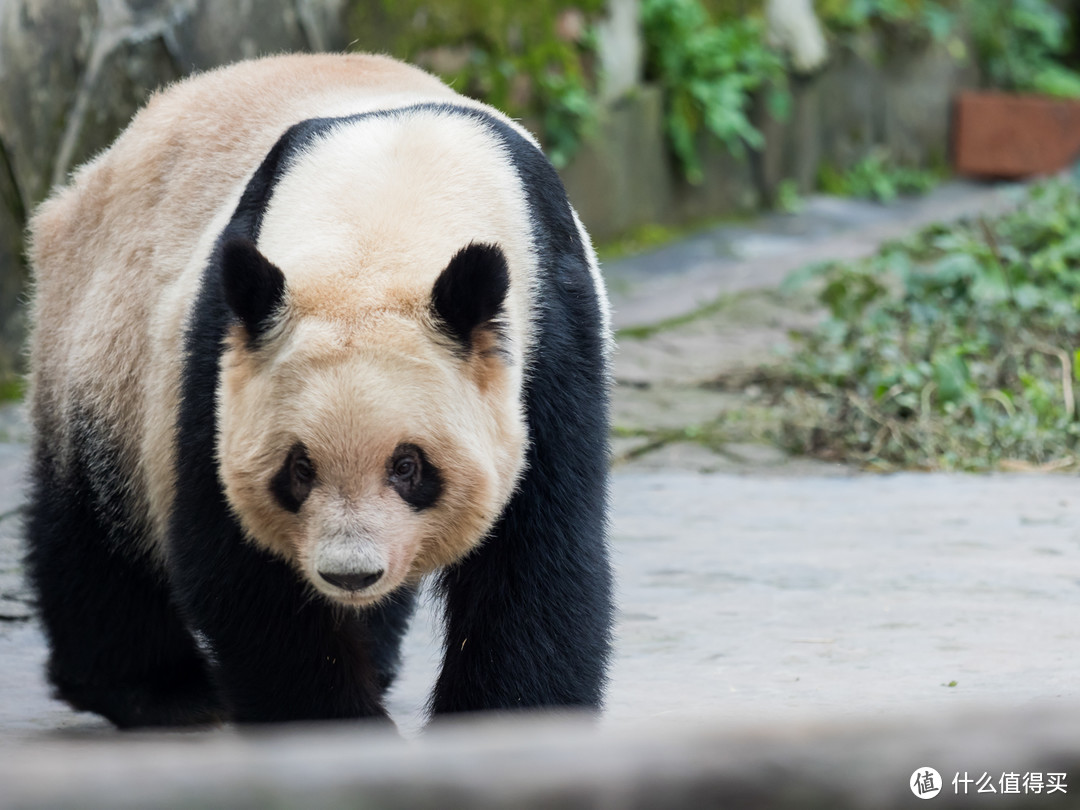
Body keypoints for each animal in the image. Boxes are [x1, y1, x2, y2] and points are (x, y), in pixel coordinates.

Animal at [25, 54, 613, 734]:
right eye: (297, 468)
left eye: (409, 466)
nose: (349, 573)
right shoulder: (219, 352)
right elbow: (241, 567)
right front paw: (335, 727)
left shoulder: (550, 333)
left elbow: (534, 556)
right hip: (109, 341)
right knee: (95, 528)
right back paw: (156, 689)